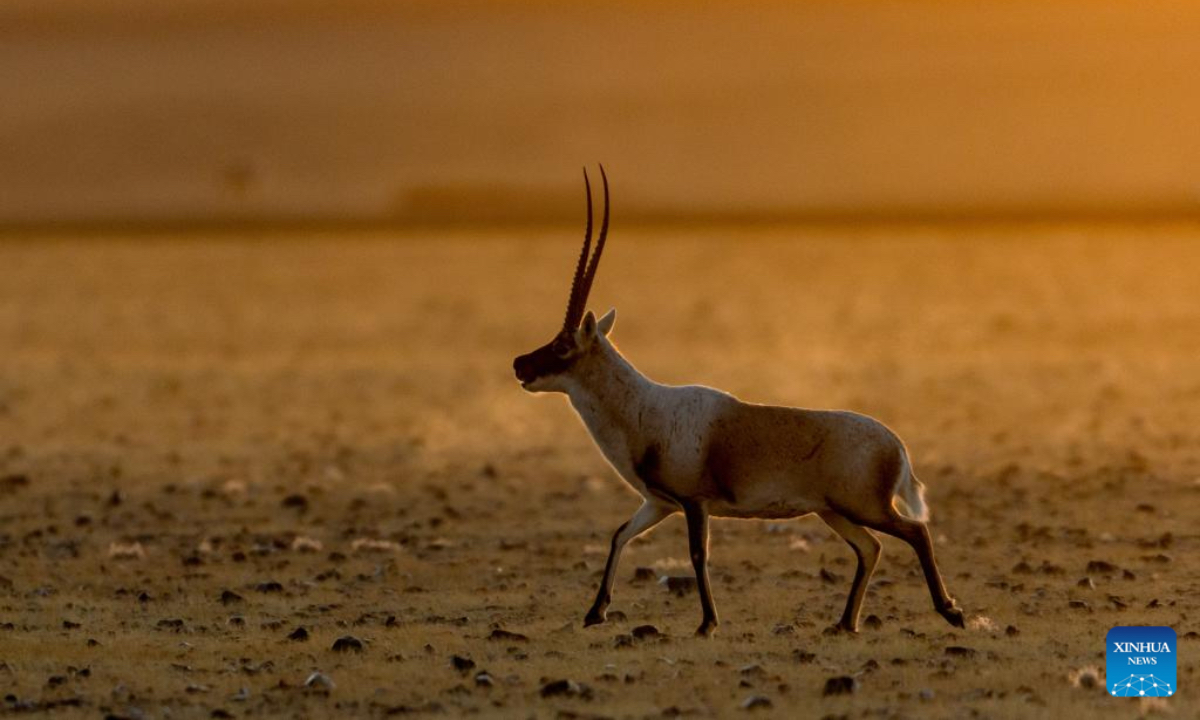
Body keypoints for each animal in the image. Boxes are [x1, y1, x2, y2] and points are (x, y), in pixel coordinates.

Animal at [513, 166, 965, 637]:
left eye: (563, 345)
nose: (519, 364)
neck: (644, 409)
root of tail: (896, 444)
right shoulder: (658, 503)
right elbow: (620, 533)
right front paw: (594, 612)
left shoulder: (694, 503)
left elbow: (698, 554)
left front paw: (707, 623)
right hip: (833, 512)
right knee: (870, 547)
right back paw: (844, 623)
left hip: (864, 506)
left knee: (915, 532)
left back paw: (950, 611)